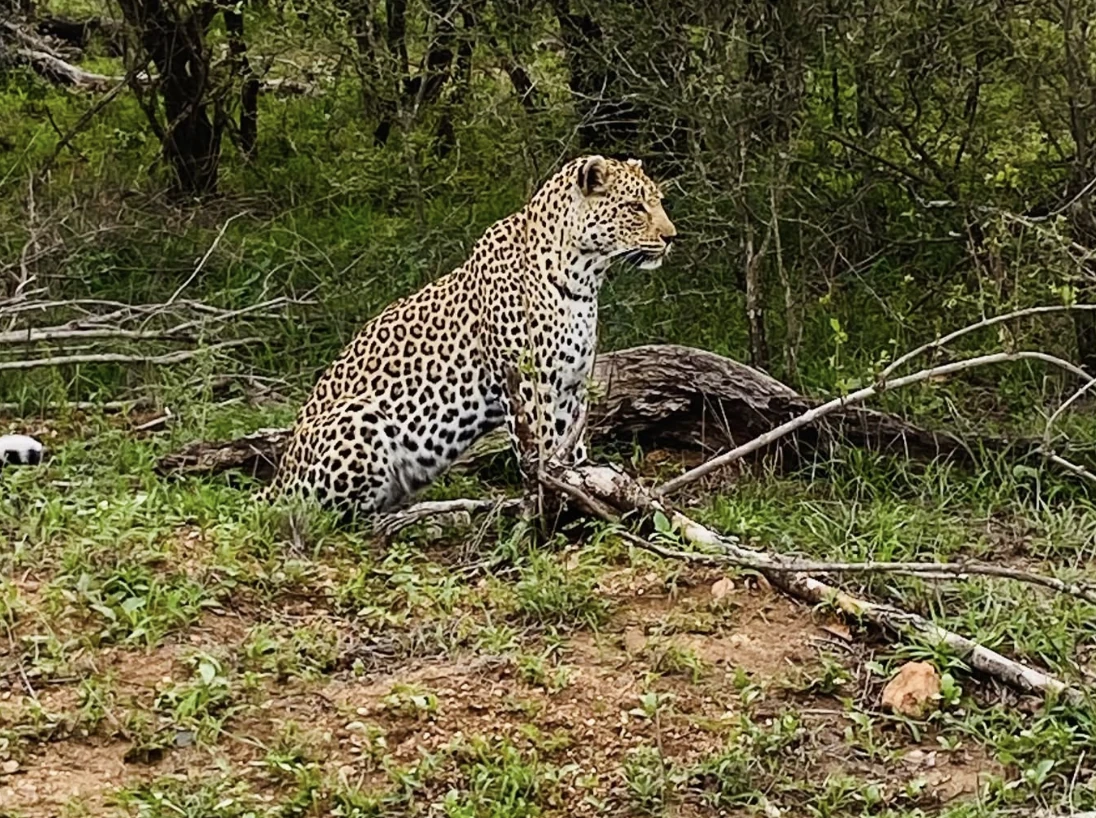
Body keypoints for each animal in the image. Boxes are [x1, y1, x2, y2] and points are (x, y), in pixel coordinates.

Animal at [266, 154, 677, 518]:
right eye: (635, 207)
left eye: (657, 201)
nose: (671, 237)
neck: (584, 276)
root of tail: (276, 480)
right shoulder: (530, 385)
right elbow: (543, 453)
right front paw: (559, 506)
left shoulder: (571, 388)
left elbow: (571, 451)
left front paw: (587, 494)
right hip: (358, 416)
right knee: (329, 515)